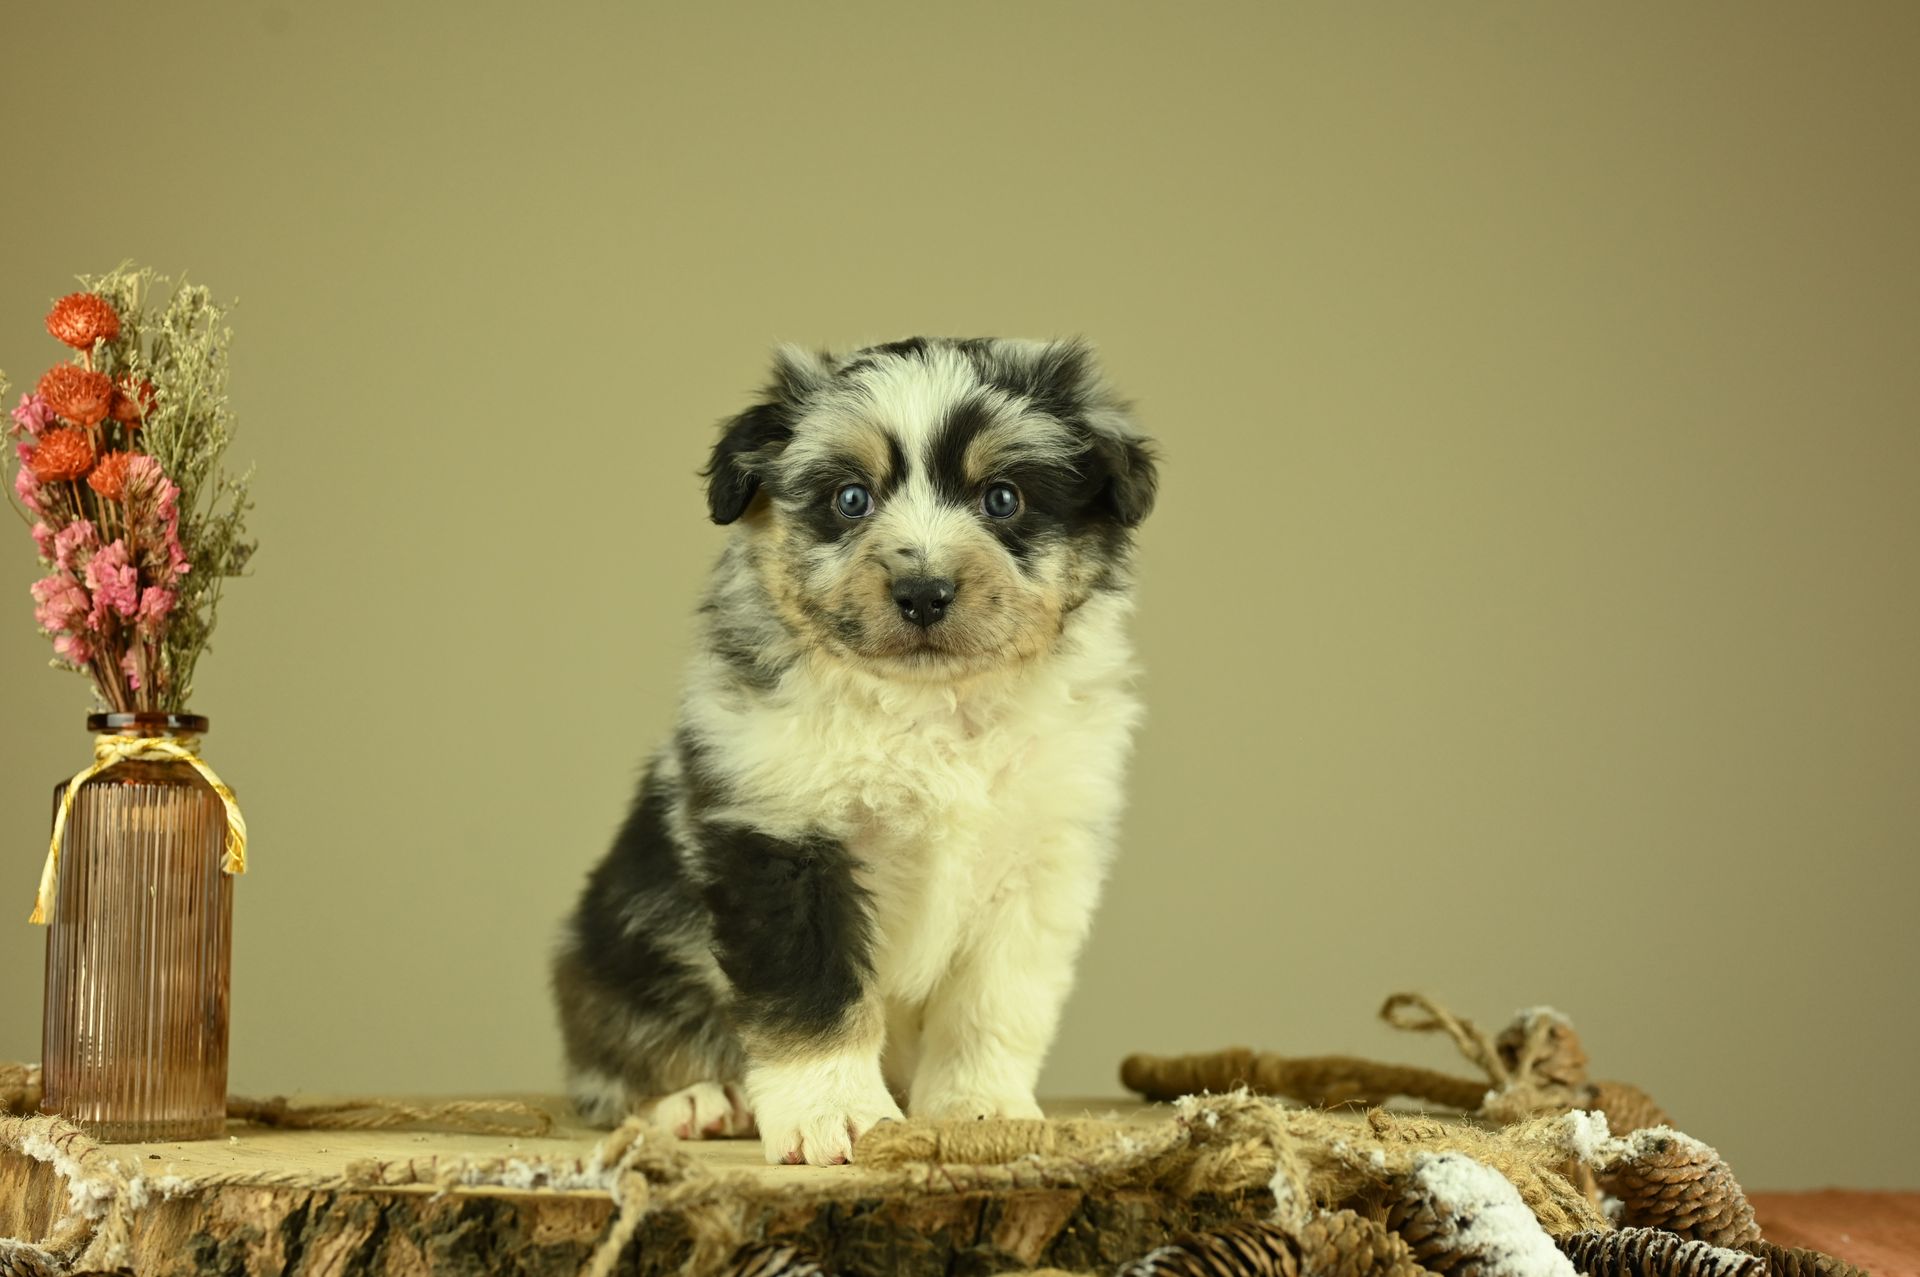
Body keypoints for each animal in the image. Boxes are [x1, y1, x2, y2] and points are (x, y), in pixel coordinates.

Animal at [551, 336, 1158, 1165]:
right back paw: (697, 1100)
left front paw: (979, 1108)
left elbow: (994, 1002)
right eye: (850, 499)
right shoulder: (782, 837)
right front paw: (832, 1115)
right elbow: (813, 995)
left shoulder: (1038, 862)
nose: (924, 592)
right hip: (615, 950)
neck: (932, 708)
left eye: (1003, 498)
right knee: (612, 1059)